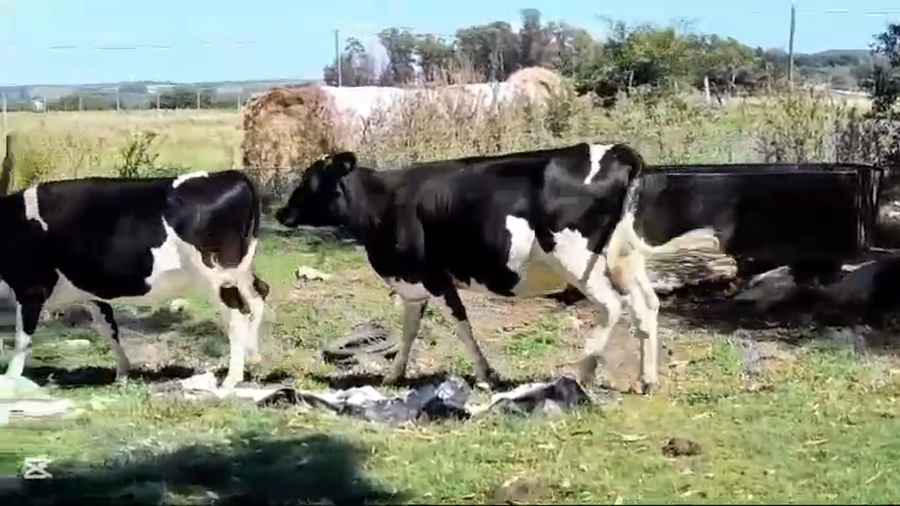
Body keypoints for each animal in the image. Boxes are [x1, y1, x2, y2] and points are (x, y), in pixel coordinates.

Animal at [0, 170, 269, 389]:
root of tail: (233, 175)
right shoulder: (94, 291)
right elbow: (108, 328)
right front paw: (123, 372)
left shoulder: (30, 288)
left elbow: (22, 338)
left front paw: (11, 379)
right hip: (241, 272)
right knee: (258, 296)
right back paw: (254, 358)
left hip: (217, 276)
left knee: (238, 314)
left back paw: (232, 379)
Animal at [274, 144, 719, 394]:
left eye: (310, 180)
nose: (280, 212)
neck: (382, 204)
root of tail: (619, 152)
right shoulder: (414, 284)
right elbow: (409, 331)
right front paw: (393, 375)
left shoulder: (436, 277)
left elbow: (461, 326)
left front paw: (485, 374)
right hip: (625, 254)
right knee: (646, 305)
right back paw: (647, 380)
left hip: (577, 258)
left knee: (611, 306)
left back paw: (583, 373)